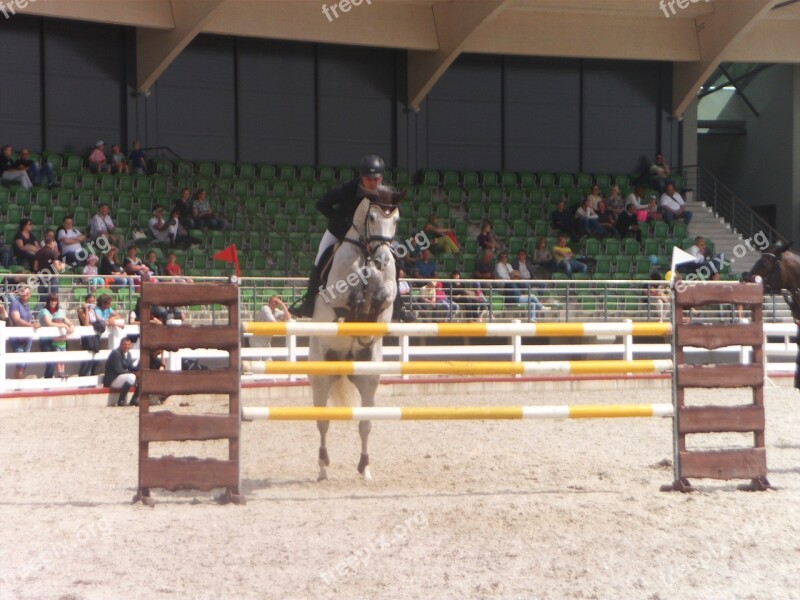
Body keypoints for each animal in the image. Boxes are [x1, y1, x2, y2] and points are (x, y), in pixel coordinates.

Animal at [310, 190, 404, 480]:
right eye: (371, 217)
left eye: (396, 220)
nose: (383, 258)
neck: (366, 254)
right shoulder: (336, 295)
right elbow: (352, 299)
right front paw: (359, 306)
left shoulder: (388, 293)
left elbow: (383, 295)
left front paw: (369, 312)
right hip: (320, 377)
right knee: (323, 422)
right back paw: (322, 468)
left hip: (368, 378)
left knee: (365, 424)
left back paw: (365, 469)